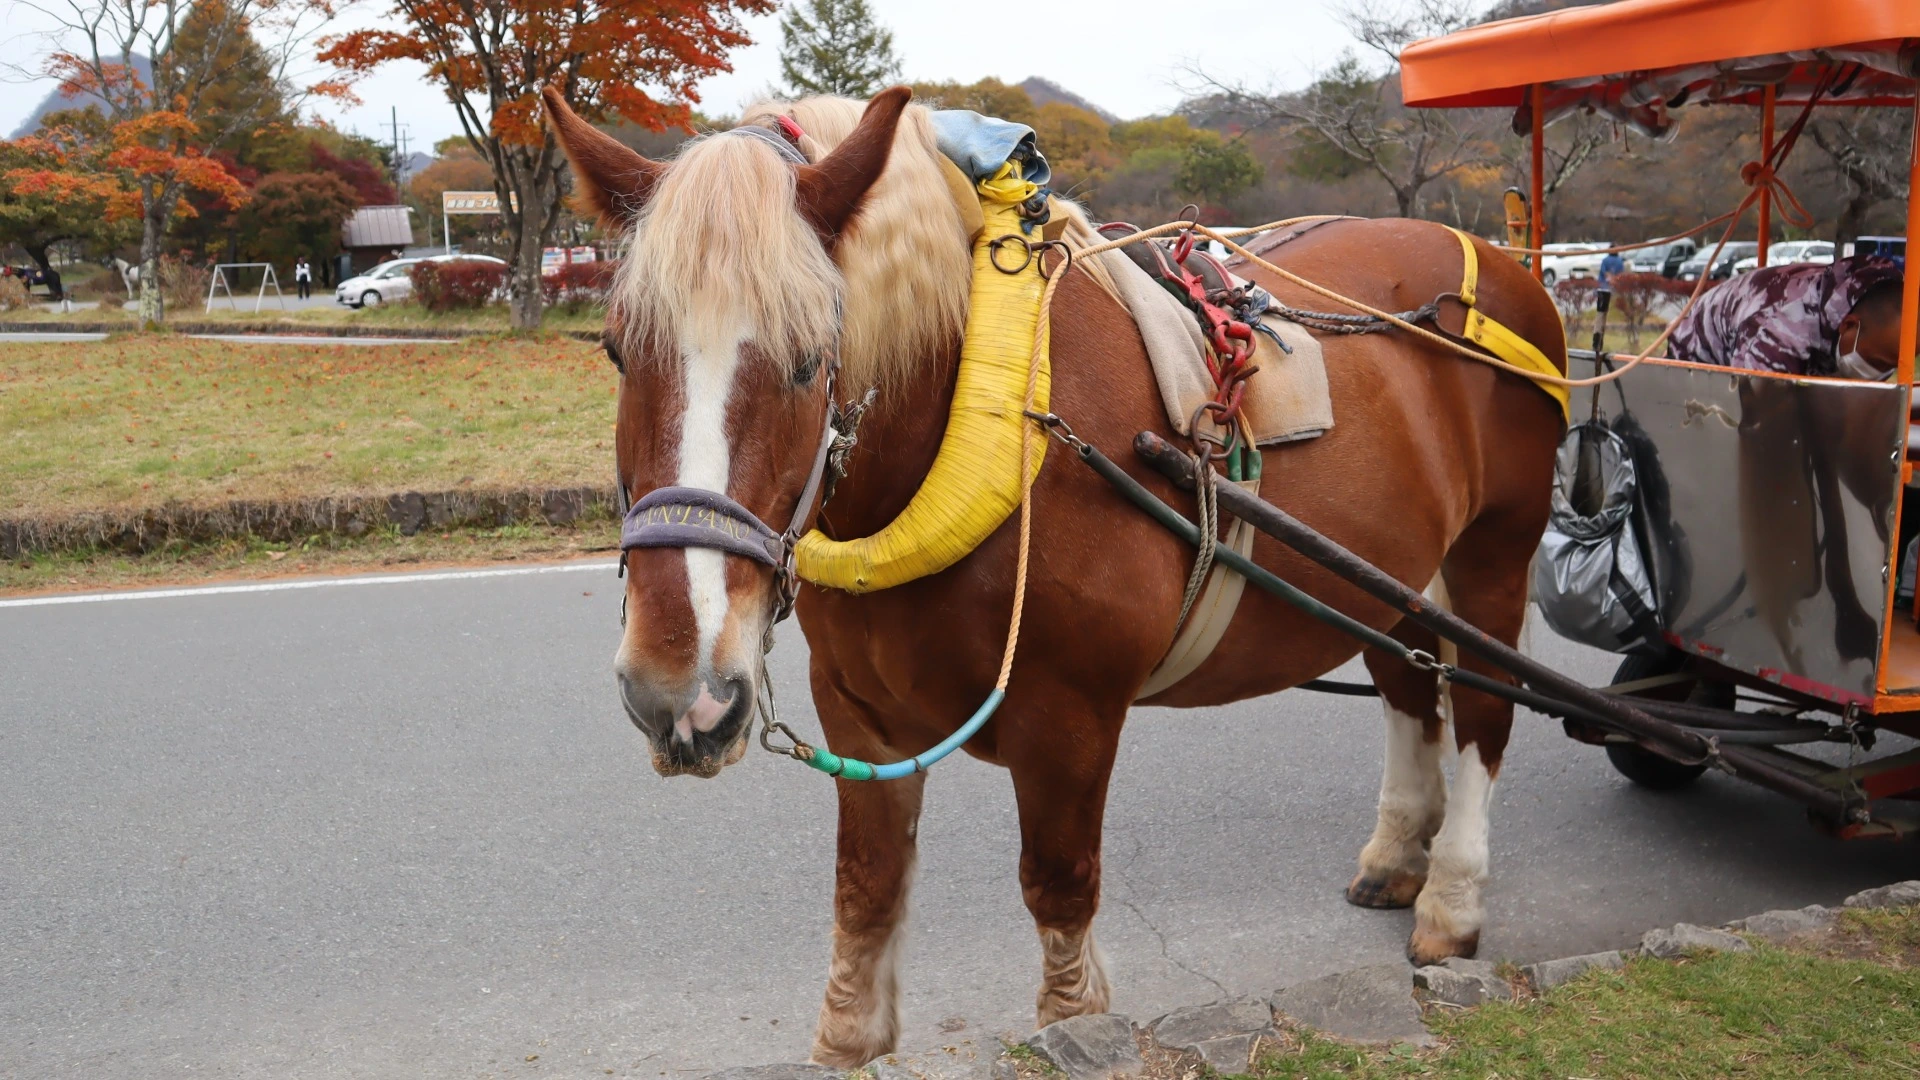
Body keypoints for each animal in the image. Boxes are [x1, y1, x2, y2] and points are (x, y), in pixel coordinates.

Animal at [545, 88, 1574, 1060]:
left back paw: (1452, 897)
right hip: (1389, 576)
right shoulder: (857, 720)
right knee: (1410, 688)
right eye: (616, 350)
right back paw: (1398, 854)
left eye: (808, 364)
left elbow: (1060, 896)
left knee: (1482, 713)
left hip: (1493, 553)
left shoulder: (1070, 721)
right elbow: (866, 895)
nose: (676, 692)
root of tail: (1500, 259)